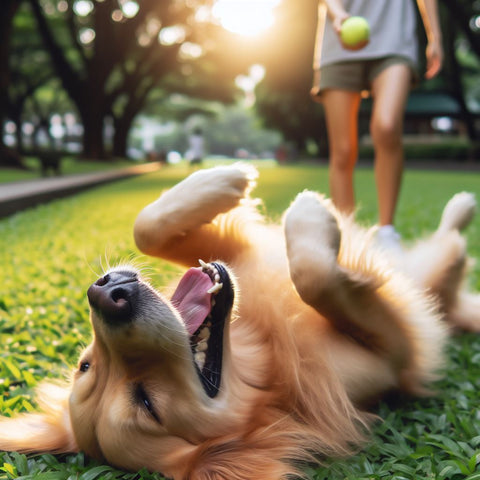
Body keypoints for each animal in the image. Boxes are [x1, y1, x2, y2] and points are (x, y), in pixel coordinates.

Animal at [0, 163, 480, 478]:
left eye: (84, 363)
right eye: (147, 403)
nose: (107, 294)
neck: (261, 352)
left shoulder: (232, 258)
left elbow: (146, 227)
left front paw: (223, 180)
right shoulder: (394, 356)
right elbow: (314, 275)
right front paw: (308, 216)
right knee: (453, 255)